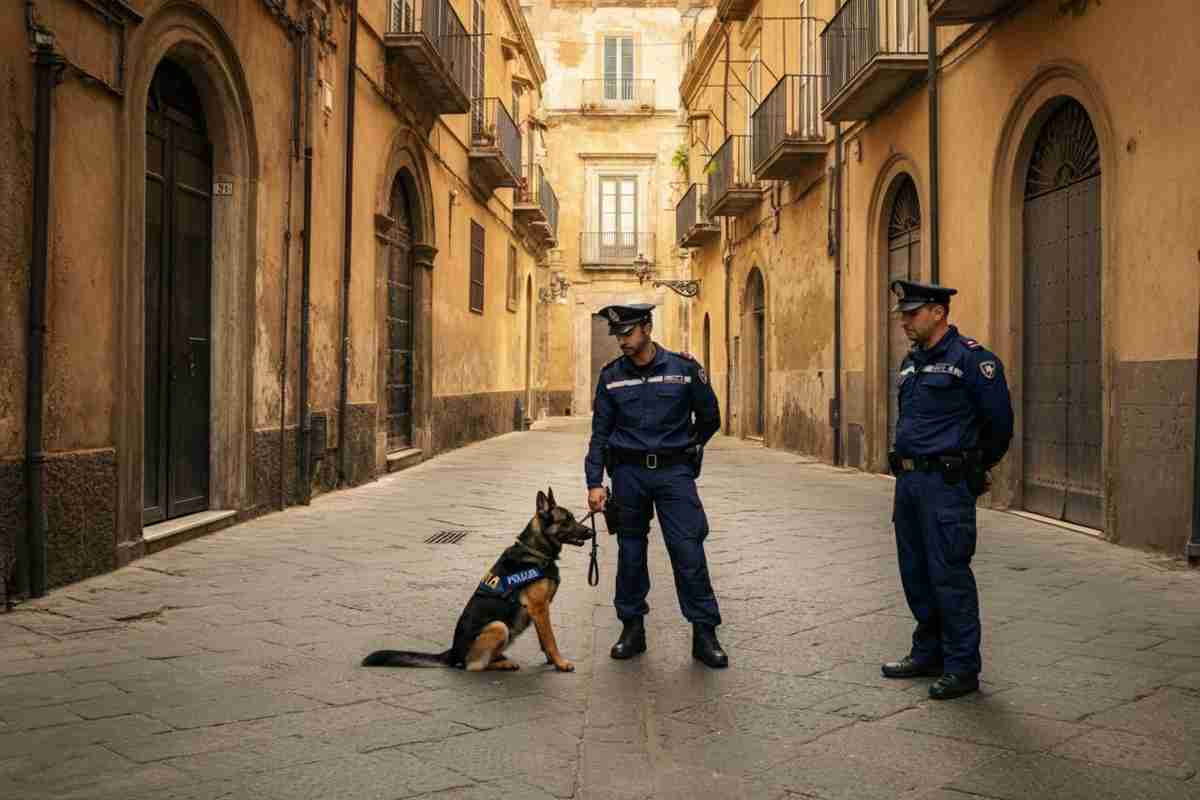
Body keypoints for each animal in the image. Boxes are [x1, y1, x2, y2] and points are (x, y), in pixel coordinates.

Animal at [360, 491, 595, 671]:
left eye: (573, 518)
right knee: (474, 666)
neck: (535, 550)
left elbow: (544, 640)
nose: (591, 531)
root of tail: (452, 653)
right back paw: (503, 664)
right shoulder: (539, 608)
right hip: (499, 626)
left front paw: (551, 661)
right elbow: (551, 640)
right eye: (566, 520)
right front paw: (560, 663)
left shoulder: (540, 611)